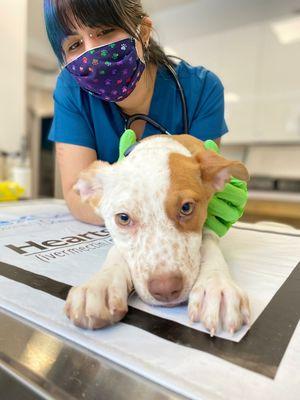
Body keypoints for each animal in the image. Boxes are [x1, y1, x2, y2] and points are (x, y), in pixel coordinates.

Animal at [65, 135, 251, 338]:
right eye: (123, 218)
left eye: (186, 208)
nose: (166, 290)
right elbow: (115, 250)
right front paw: (101, 283)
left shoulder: (209, 220)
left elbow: (209, 242)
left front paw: (216, 283)